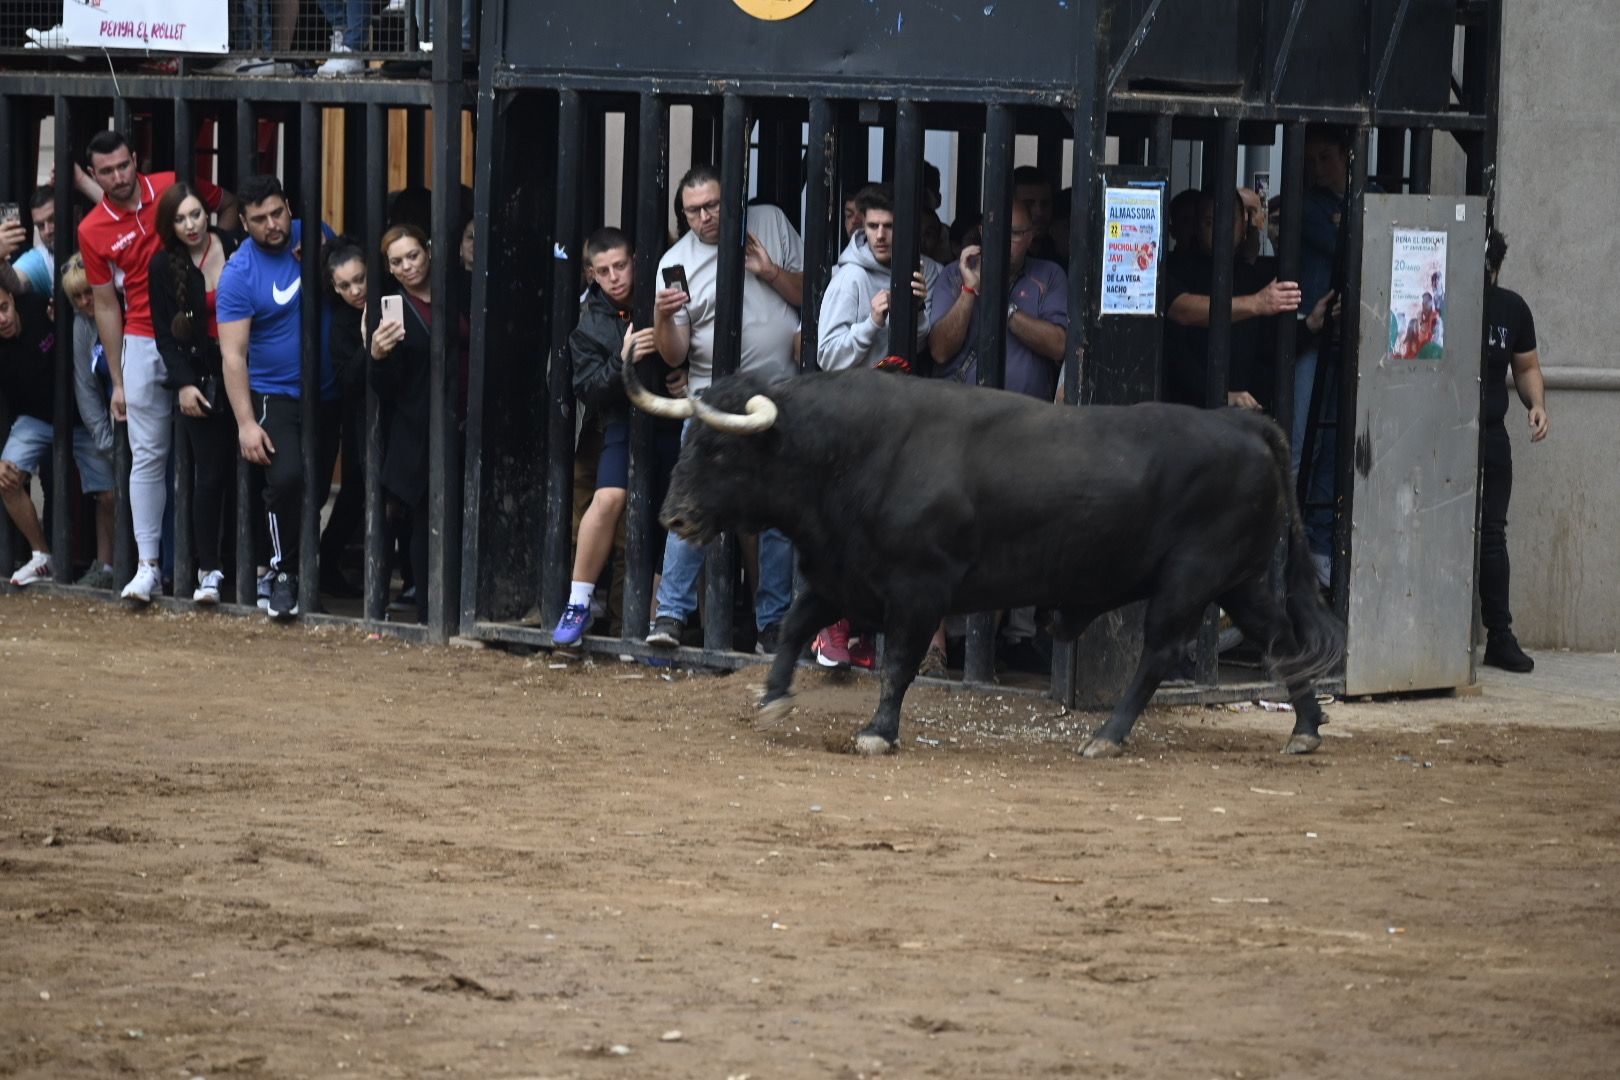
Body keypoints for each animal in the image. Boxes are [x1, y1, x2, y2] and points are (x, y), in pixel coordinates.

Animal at [625, 362, 1347, 761]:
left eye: (723, 451)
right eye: (687, 440)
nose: (673, 516)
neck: (848, 452)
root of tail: (1240, 423)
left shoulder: (919, 590)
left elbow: (897, 663)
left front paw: (877, 732)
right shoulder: (840, 574)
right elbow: (797, 628)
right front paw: (774, 696)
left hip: (1190, 580)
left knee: (1161, 653)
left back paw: (1107, 736)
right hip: (1242, 581)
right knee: (1282, 642)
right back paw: (1306, 730)